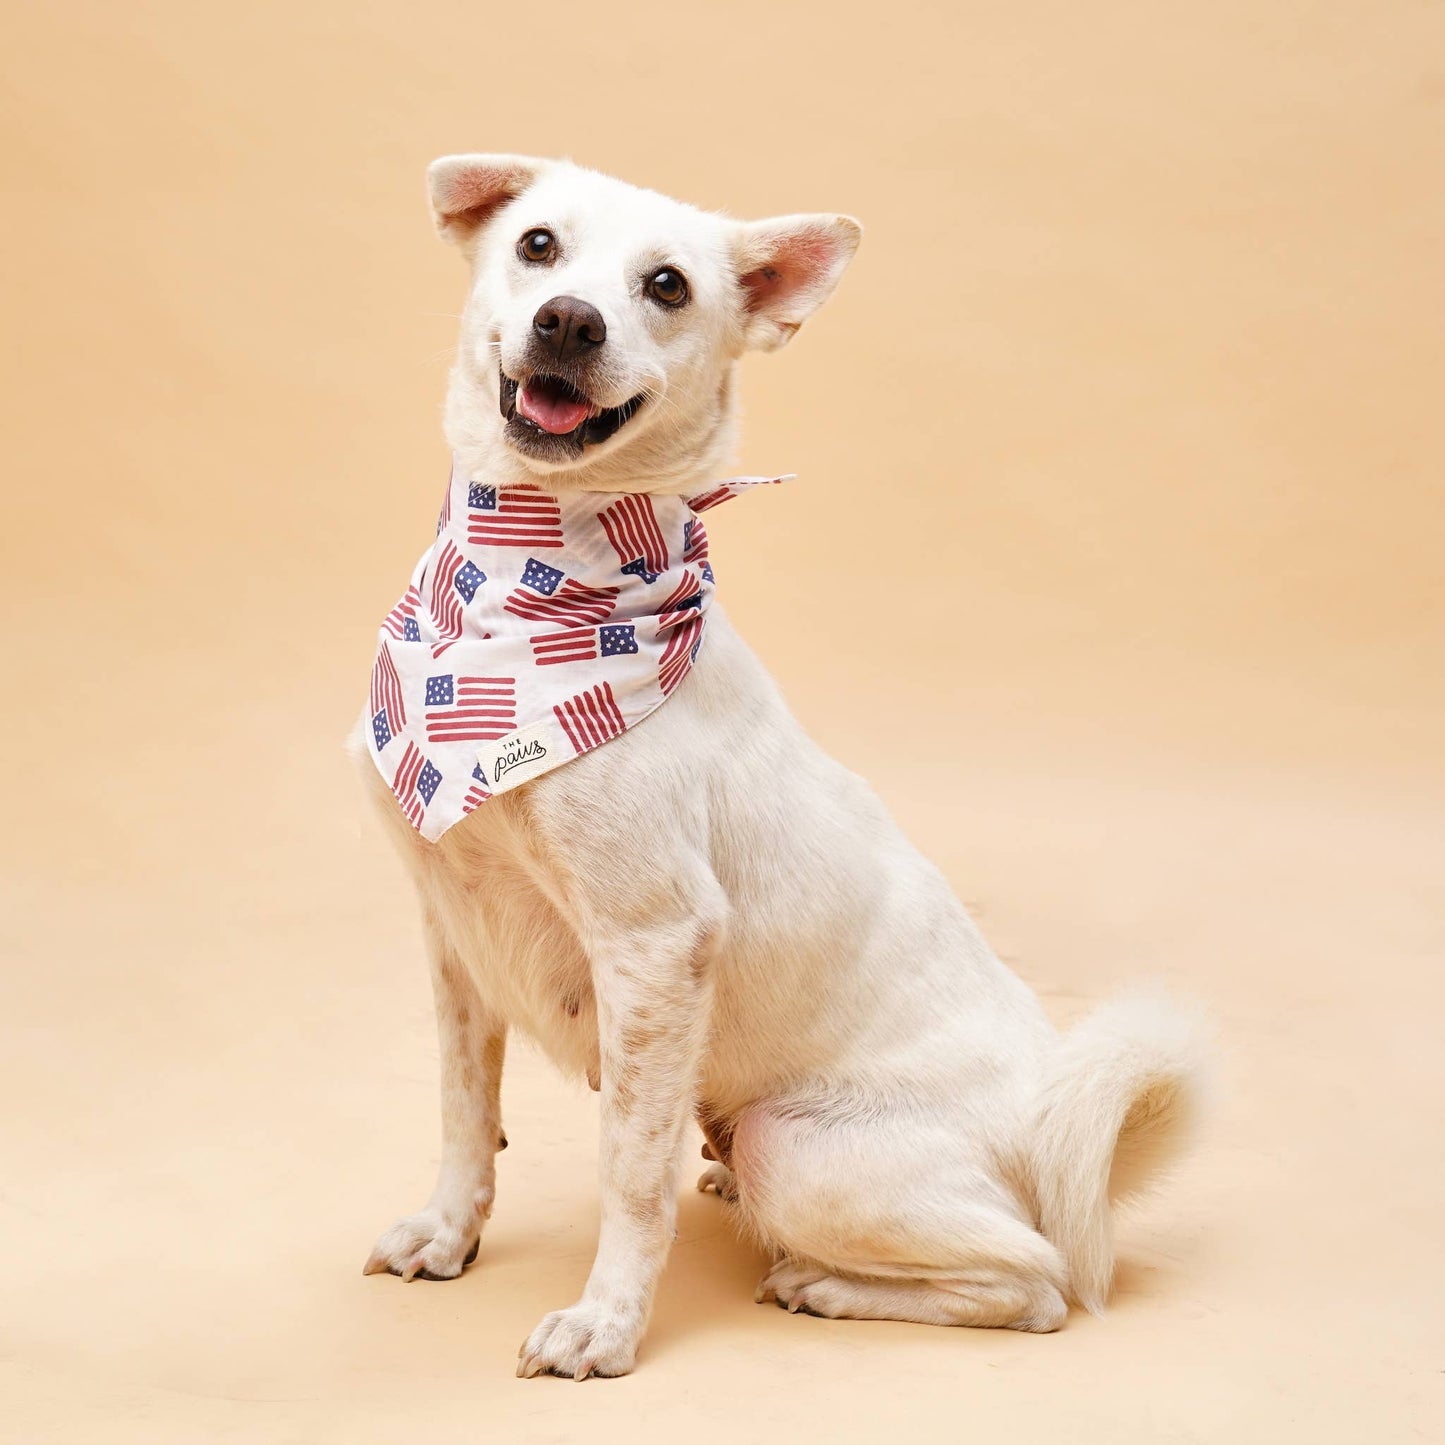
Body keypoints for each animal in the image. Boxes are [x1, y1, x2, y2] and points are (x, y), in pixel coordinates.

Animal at [352, 155, 1208, 1375]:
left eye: (665, 284)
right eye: (537, 245)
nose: (568, 320)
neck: (527, 585)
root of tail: (1050, 1133)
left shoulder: (655, 944)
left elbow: (628, 1168)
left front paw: (606, 1321)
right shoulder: (456, 936)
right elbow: (466, 1113)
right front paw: (446, 1230)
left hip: (795, 1144)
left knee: (1036, 1281)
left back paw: (822, 1282)